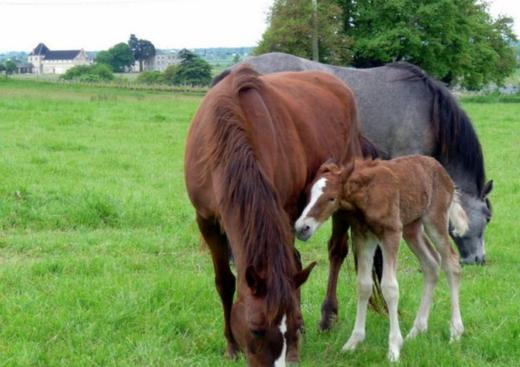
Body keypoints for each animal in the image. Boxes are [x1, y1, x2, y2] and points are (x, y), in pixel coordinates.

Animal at [185, 65, 372, 366]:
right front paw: (231, 345)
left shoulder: (284, 213)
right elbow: (225, 281)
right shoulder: (207, 221)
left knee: (336, 251)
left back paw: (327, 315)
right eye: (256, 330)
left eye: (289, 326)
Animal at [294, 155, 470, 362]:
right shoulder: (363, 236)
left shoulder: (390, 233)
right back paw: (416, 331)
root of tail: (443, 172)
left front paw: (394, 348)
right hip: (411, 227)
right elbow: (363, 286)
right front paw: (353, 342)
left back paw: (455, 331)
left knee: (451, 263)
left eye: (331, 198)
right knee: (431, 264)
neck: (366, 195)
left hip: (434, 219)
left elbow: (390, 287)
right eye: (308, 195)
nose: (302, 228)